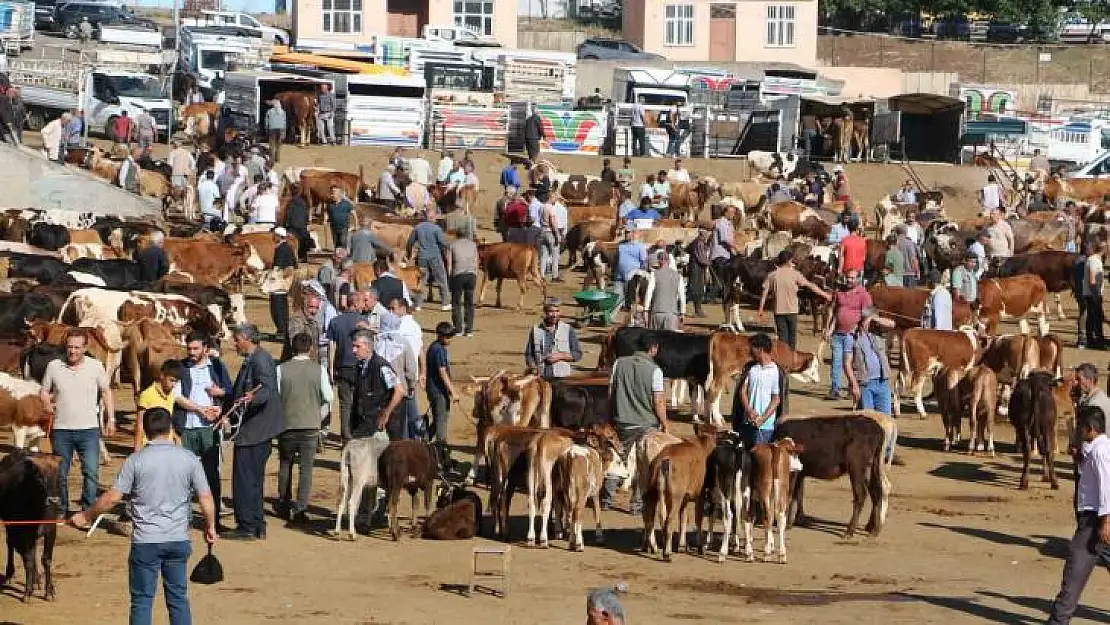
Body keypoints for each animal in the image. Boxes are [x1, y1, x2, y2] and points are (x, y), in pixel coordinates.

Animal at [0, 452, 62, 603]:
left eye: (58, 475)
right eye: (39, 477)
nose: (54, 500)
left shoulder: (51, 530)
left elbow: (46, 559)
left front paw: (49, 590)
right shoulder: (23, 531)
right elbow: (27, 558)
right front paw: (28, 592)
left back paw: (37, 580)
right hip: (10, 526)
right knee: (11, 545)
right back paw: (10, 575)